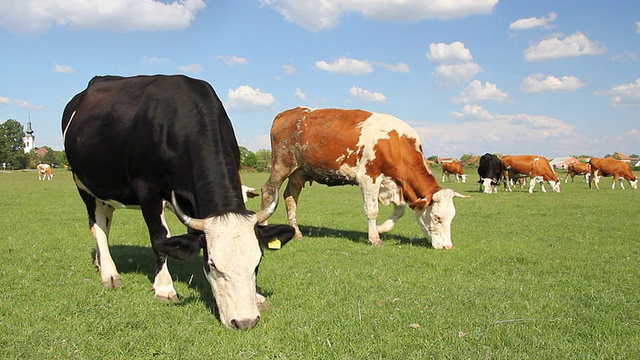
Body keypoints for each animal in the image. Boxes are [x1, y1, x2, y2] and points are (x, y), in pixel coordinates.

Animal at [60, 75, 296, 330]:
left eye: (257, 262)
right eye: (213, 264)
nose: (245, 321)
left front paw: (257, 296)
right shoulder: (147, 188)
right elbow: (159, 237)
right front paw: (164, 287)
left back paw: (99, 263)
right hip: (84, 186)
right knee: (98, 227)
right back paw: (110, 274)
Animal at [258, 105, 468, 249]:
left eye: (452, 217)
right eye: (437, 217)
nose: (447, 247)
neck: (394, 142)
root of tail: (288, 113)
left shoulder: (393, 183)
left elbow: (400, 210)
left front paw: (382, 228)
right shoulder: (369, 177)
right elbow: (372, 210)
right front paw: (374, 238)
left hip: (299, 172)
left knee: (290, 197)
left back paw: (297, 232)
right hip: (282, 164)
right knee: (268, 191)